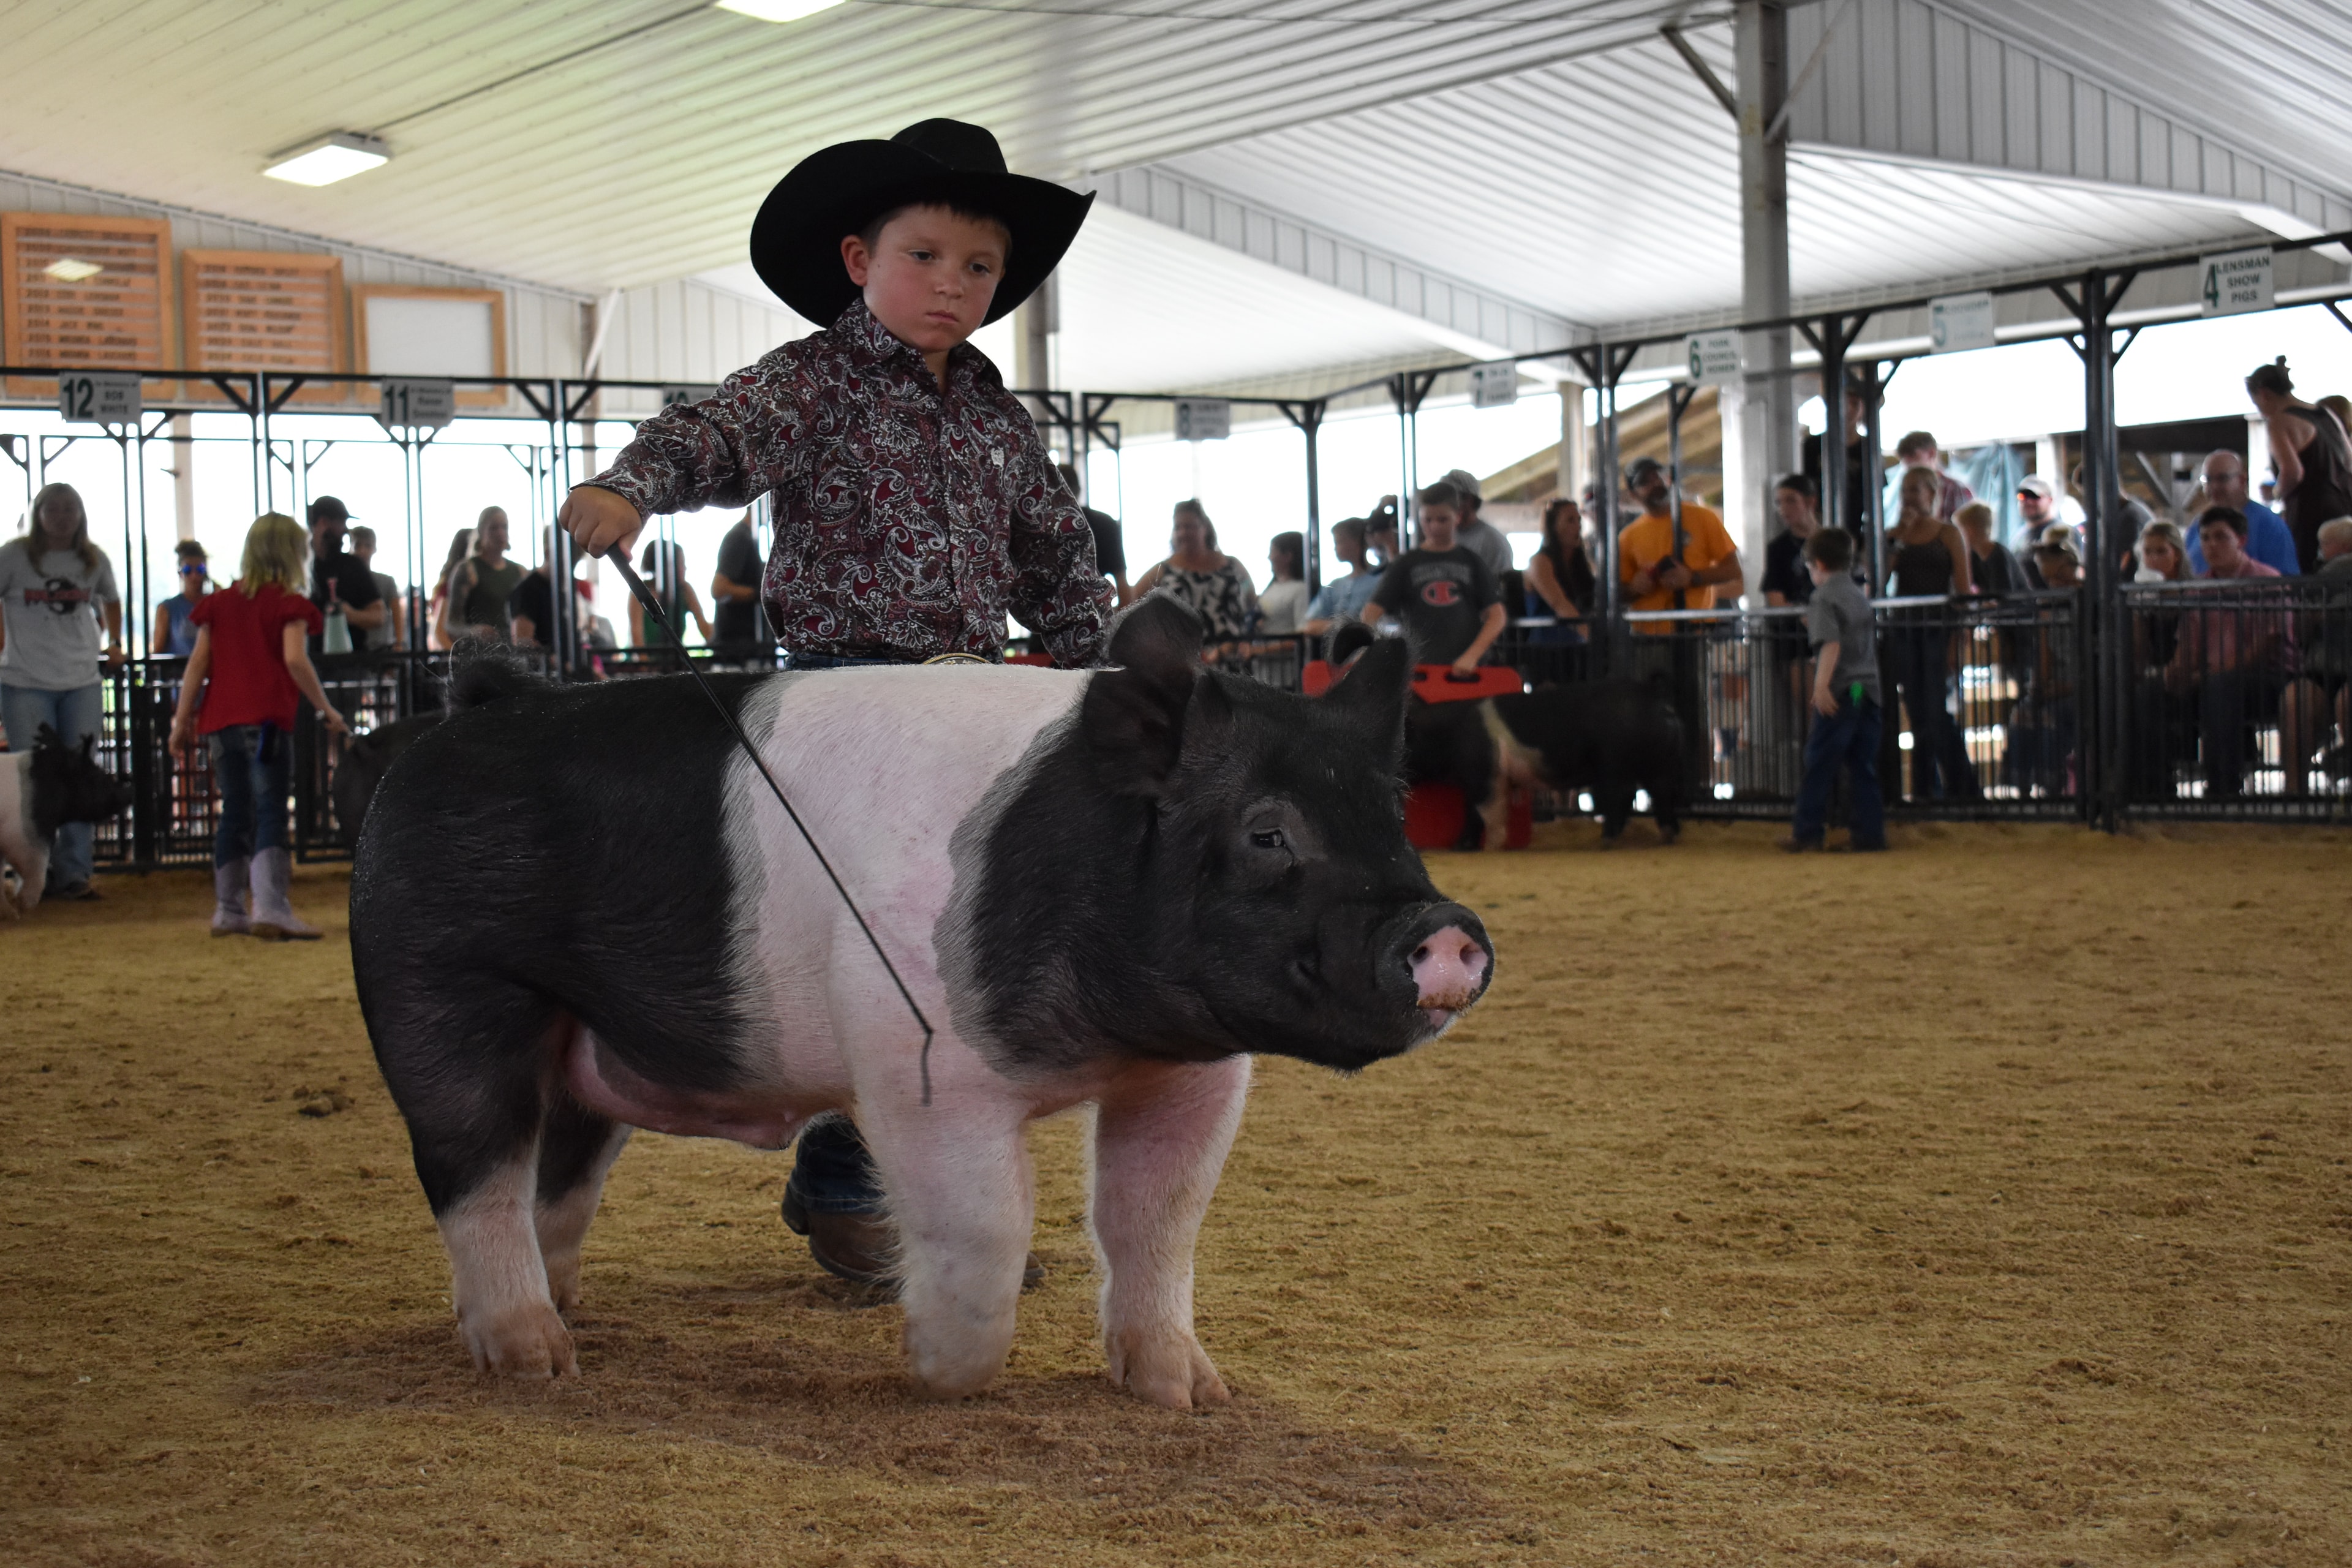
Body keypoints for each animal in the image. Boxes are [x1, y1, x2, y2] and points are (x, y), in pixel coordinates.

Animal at [0, 725, 134, 917]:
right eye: (97, 777)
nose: (130, 793)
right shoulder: (25, 833)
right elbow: (37, 867)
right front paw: (22, 907)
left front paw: (10, 913)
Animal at [349, 597, 1492, 1408]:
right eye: (1266, 832)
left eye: (1393, 813)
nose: (1447, 931)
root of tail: (469, 710)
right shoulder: (918, 1061)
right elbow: (989, 1225)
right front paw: (937, 1371)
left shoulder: (1194, 1076)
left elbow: (1155, 1220)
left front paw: (1190, 1396)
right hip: (445, 987)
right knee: (475, 1169)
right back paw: (536, 1361)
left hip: (584, 1035)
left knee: (560, 1177)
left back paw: (567, 1318)